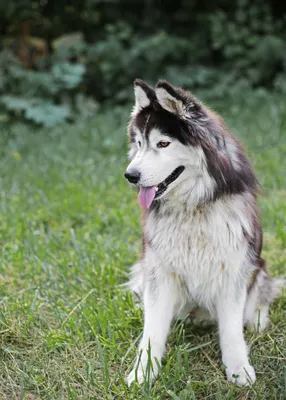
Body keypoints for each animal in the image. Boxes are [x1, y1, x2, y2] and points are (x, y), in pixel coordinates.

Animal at [124, 79, 284, 388]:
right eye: (138, 144)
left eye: (163, 143)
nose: (130, 175)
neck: (193, 206)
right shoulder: (160, 271)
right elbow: (152, 329)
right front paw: (143, 371)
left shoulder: (234, 269)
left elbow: (232, 329)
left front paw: (238, 369)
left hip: (258, 266)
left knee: (261, 292)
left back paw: (257, 319)